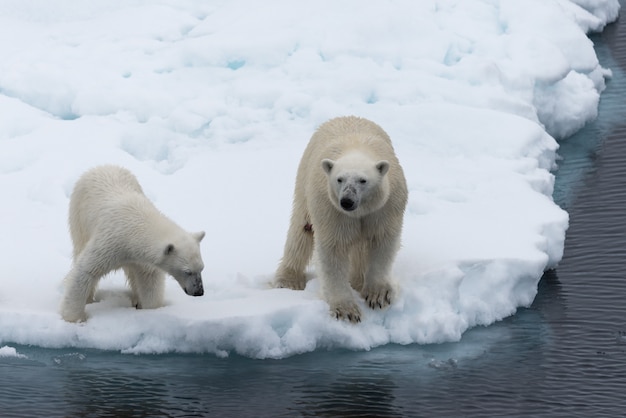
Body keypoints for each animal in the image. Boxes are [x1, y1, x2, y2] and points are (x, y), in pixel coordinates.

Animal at [60, 165, 204, 322]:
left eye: (201, 268)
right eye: (187, 271)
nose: (199, 292)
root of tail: (102, 166)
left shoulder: (142, 258)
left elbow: (149, 281)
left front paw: (152, 310)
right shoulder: (110, 241)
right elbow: (86, 270)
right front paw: (74, 318)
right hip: (79, 216)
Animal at [276, 116, 408, 322]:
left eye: (363, 180)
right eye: (339, 179)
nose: (347, 201)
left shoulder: (384, 207)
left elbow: (382, 242)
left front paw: (377, 295)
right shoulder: (331, 209)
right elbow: (334, 249)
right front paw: (346, 310)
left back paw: (358, 281)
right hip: (304, 179)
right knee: (301, 229)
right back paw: (288, 280)